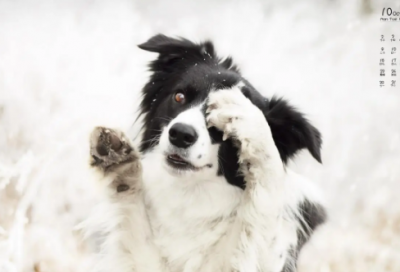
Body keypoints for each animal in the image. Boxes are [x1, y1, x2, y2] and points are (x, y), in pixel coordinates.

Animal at [87, 34, 324, 272]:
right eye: (179, 97)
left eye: (225, 127)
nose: (180, 134)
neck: (191, 194)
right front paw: (119, 162)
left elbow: (264, 198)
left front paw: (246, 115)